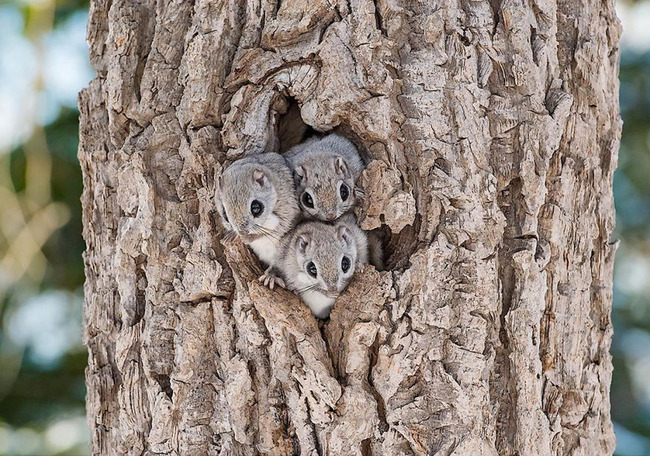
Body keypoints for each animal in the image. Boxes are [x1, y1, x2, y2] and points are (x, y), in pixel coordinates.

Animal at [216, 153, 300, 281]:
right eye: (225, 214)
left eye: (256, 208)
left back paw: (271, 276)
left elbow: (274, 229)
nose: (242, 231)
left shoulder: (288, 210)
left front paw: (248, 238)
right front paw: (231, 236)